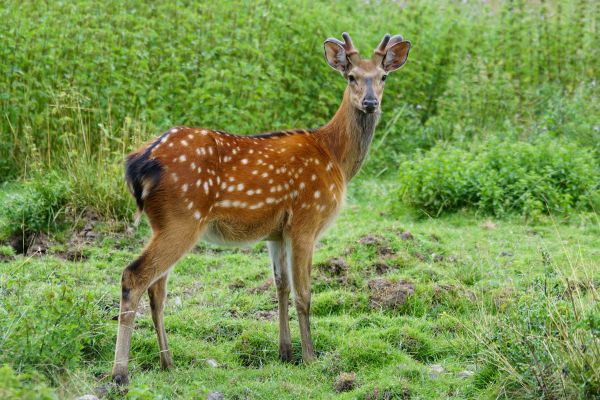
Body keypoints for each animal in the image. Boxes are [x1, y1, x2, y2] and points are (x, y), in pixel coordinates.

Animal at [111, 33, 412, 384]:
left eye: (383, 76)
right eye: (351, 76)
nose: (370, 102)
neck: (334, 156)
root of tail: (137, 163)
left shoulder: (276, 233)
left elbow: (281, 286)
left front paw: (285, 353)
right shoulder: (306, 219)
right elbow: (304, 293)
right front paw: (310, 357)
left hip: (163, 223)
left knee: (157, 287)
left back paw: (167, 362)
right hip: (181, 217)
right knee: (135, 276)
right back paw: (120, 373)